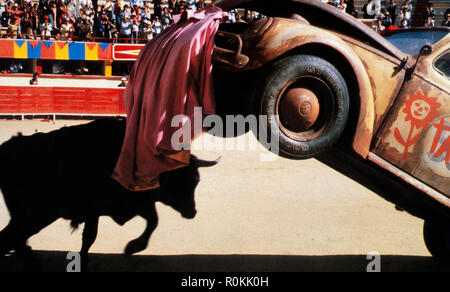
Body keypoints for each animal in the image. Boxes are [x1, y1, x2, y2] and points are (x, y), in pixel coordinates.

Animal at [0, 118, 218, 258]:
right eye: (181, 180)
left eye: (196, 179)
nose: (192, 212)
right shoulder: (95, 210)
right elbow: (89, 238)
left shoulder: (137, 203)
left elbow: (153, 221)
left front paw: (133, 247)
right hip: (35, 215)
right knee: (12, 237)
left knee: (14, 238)